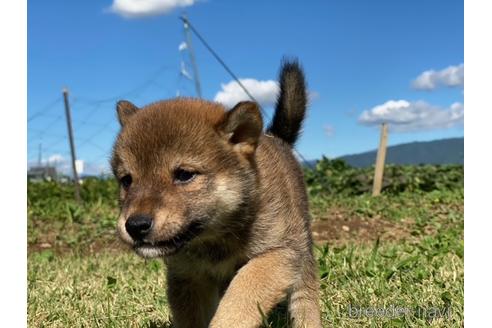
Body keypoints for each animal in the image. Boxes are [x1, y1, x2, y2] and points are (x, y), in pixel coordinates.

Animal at [109, 60, 320, 326]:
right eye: (127, 180)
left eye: (184, 175)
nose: (135, 225)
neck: (214, 238)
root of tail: (274, 137)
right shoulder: (187, 276)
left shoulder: (278, 254)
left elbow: (240, 298)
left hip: (301, 250)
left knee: (305, 297)